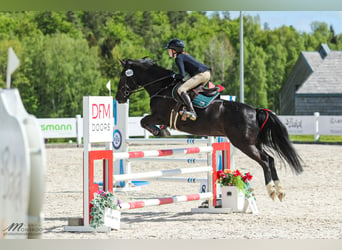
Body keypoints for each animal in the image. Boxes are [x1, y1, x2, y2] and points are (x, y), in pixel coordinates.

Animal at [116, 57, 304, 200]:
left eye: (123, 76)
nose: (119, 98)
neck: (162, 87)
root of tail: (255, 111)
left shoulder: (159, 115)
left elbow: (144, 121)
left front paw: (160, 131)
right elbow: (144, 122)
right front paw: (161, 131)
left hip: (244, 144)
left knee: (264, 161)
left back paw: (271, 190)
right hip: (253, 143)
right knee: (270, 159)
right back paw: (280, 190)